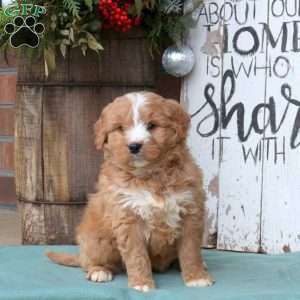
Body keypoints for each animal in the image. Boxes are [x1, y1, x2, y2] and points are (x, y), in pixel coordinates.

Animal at [47, 91, 214, 290]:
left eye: (152, 125)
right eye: (120, 128)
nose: (134, 146)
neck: (151, 175)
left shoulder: (190, 210)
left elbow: (190, 250)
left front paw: (197, 277)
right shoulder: (127, 216)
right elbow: (137, 255)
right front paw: (141, 283)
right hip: (97, 240)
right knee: (90, 261)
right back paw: (98, 270)